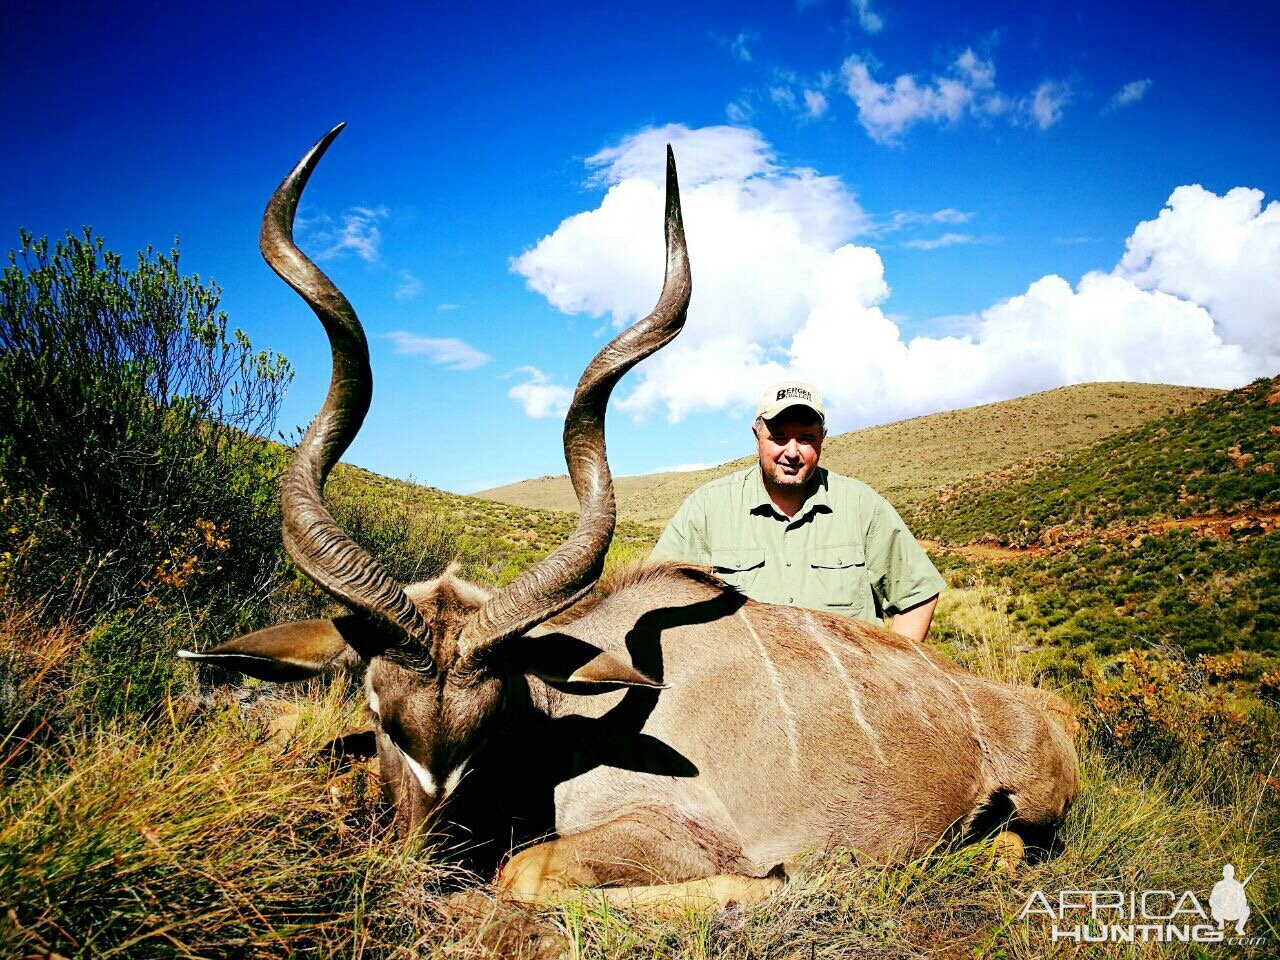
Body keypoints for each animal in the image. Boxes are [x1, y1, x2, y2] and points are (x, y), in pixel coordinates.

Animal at [183, 128, 1080, 916]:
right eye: (376, 712)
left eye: (495, 721)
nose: (429, 864)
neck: (563, 729)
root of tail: (1034, 717)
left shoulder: (674, 832)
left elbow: (527, 872)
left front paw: (770, 884)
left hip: (1032, 810)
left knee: (1010, 847)